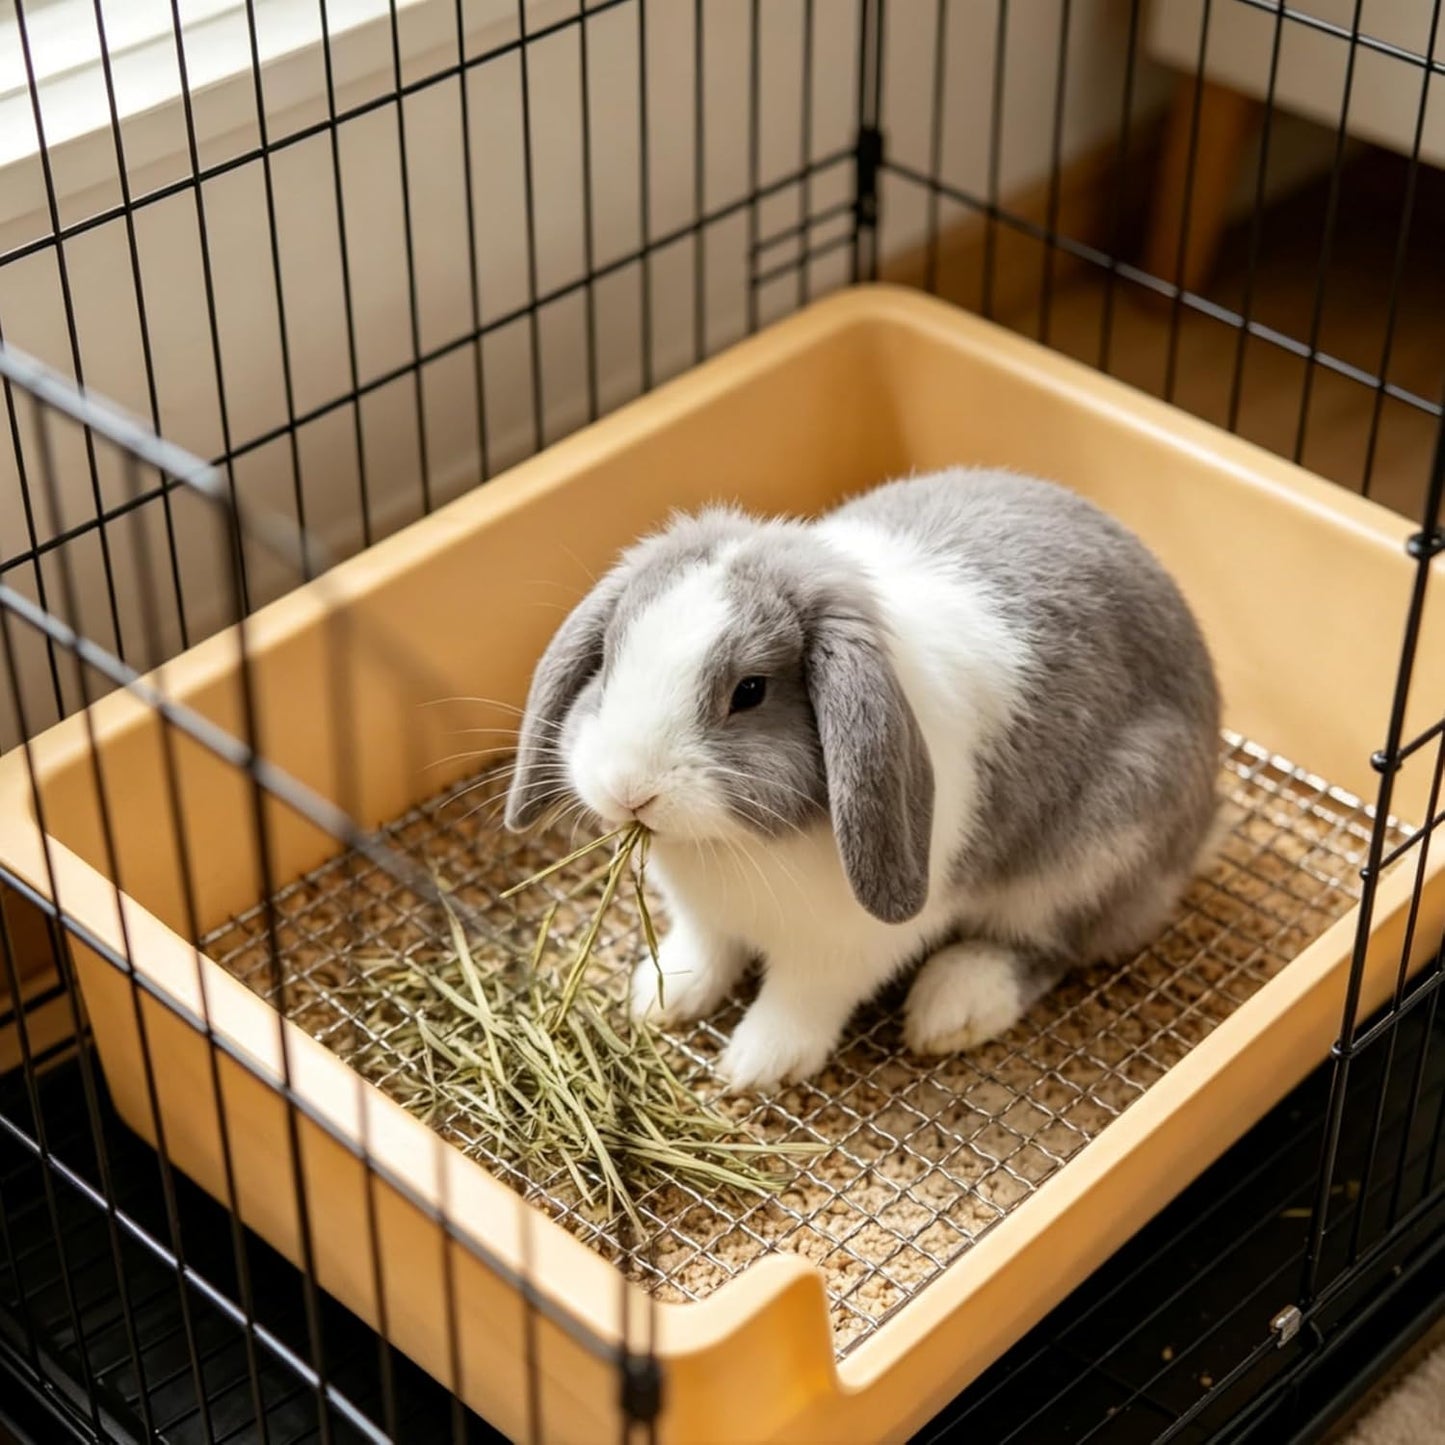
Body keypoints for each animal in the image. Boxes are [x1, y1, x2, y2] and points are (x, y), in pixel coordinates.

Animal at [504, 466, 1221, 1092]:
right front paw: (660, 997)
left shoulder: (844, 948)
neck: (740, 845)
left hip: (1097, 850)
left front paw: (755, 1066)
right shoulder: (703, 917)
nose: (629, 787)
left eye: (750, 691)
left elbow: (799, 999)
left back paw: (952, 1006)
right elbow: (705, 951)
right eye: (609, 659)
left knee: (1054, 944)